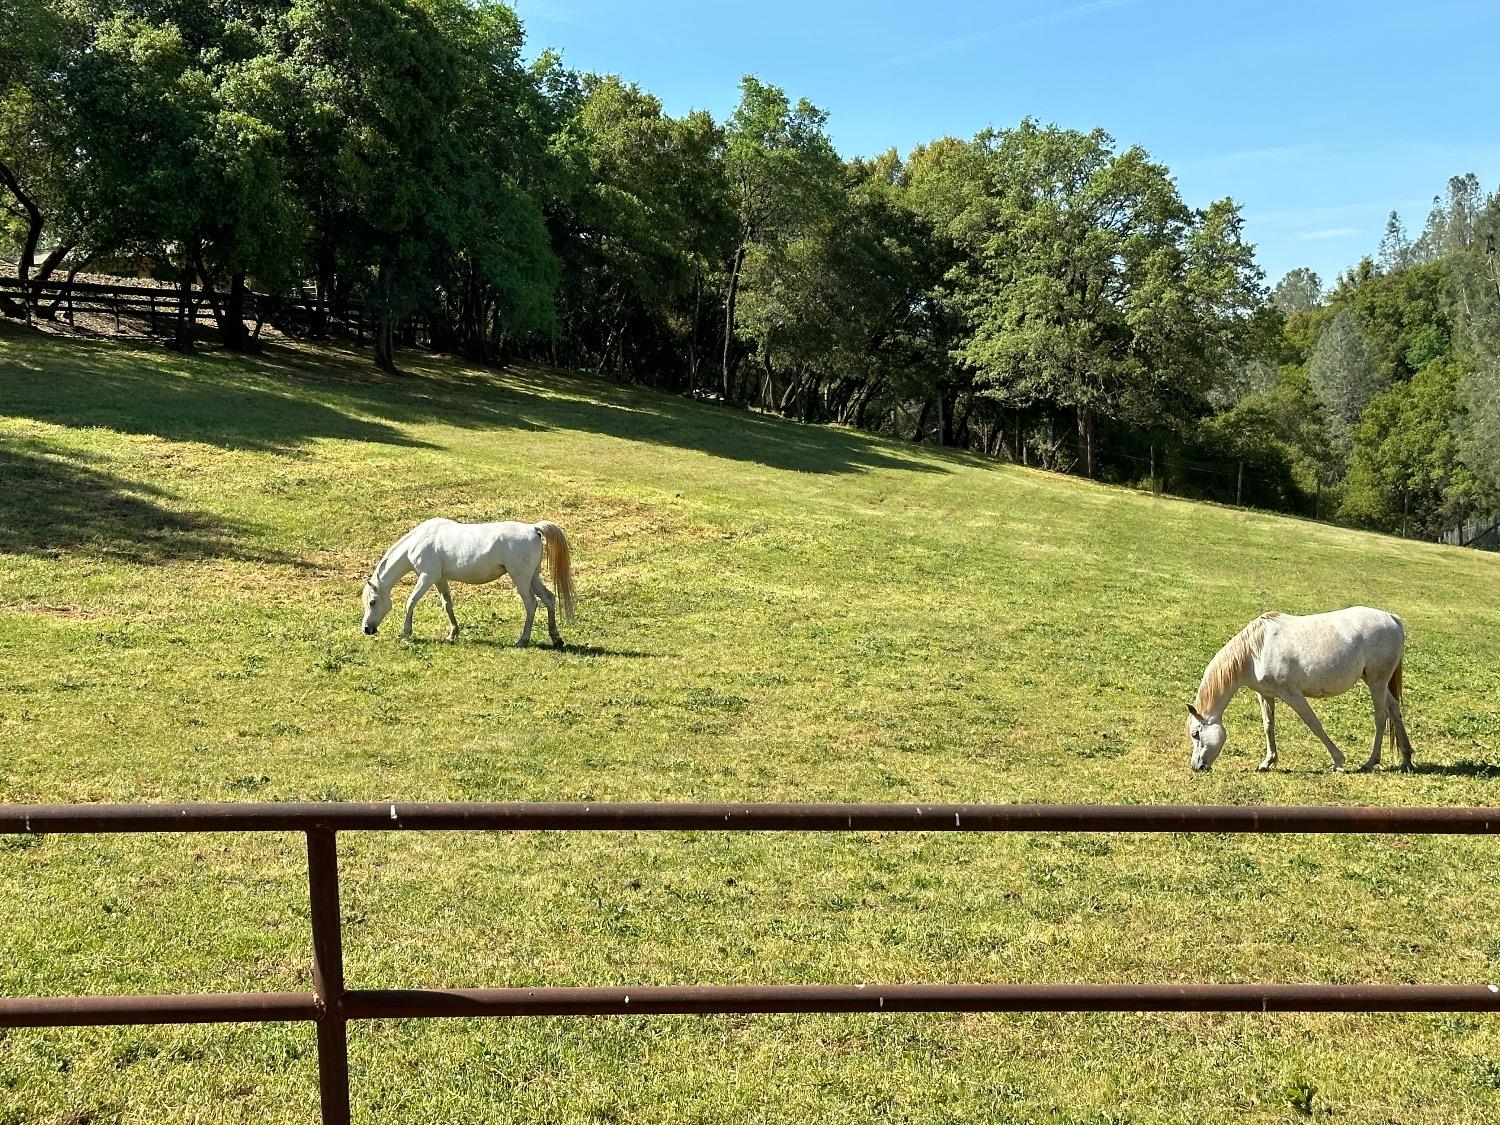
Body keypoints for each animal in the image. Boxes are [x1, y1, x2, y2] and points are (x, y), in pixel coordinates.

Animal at [360, 519, 576, 648]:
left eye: (372, 602)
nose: (367, 629)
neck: (418, 542)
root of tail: (534, 528)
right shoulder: (440, 579)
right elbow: (447, 605)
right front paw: (452, 634)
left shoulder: (427, 577)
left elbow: (410, 602)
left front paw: (406, 634)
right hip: (533, 577)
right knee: (549, 598)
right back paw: (556, 638)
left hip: (521, 578)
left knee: (532, 604)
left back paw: (522, 640)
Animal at [1188, 609, 1410, 774]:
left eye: (1195, 734)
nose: (1197, 767)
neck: (1255, 651)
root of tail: (1392, 618)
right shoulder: (1265, 695)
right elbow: (1268, 726)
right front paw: (1267, 762)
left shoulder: (1293, 695)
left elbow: (1315, 725)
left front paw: (1338, 761)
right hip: (1374, 681)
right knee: (1394, 710)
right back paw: (1407, 759)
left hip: (1377, 681)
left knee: (1381, 717)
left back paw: (1370, 762)